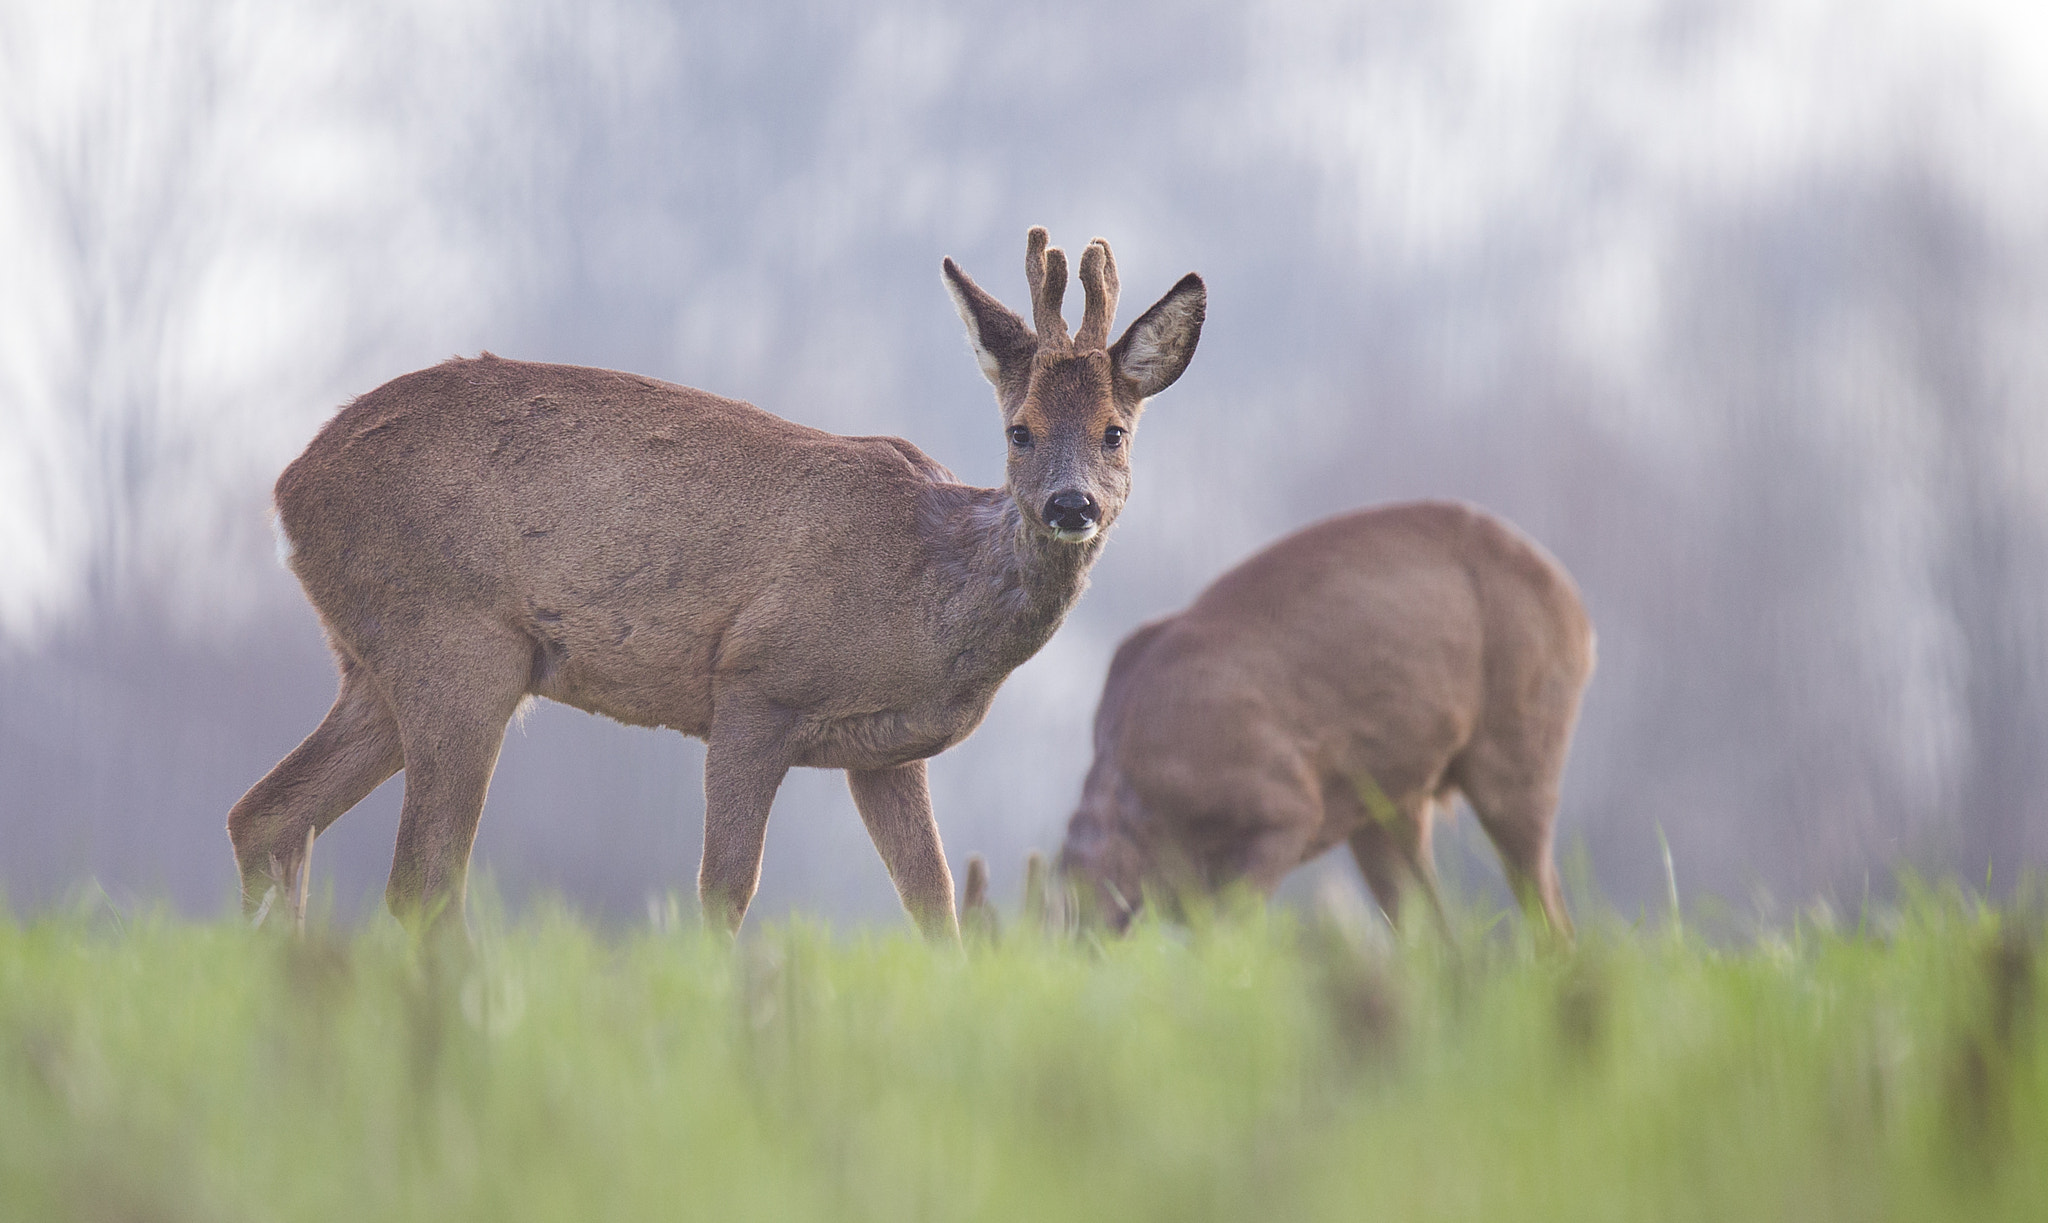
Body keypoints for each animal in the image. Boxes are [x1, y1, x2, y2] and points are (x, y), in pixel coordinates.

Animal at [226, 227, 1206, 942]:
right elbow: (723, 894)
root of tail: (289, 489)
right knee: (421, 879)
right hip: (458, 642)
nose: (1072, 504)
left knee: (265, 817)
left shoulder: (888, 751)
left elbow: (935, 909)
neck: (929, 585)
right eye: (1019, 430)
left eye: (1116, 430)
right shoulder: (754, 683)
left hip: (375, 662)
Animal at [1056, 501, 1593, 941]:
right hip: (1388, 802)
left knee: (1552, 918)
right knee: (1437, 937)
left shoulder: (1284, 807)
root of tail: (1579, 612)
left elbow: (1229, 940)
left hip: (1517, 745)